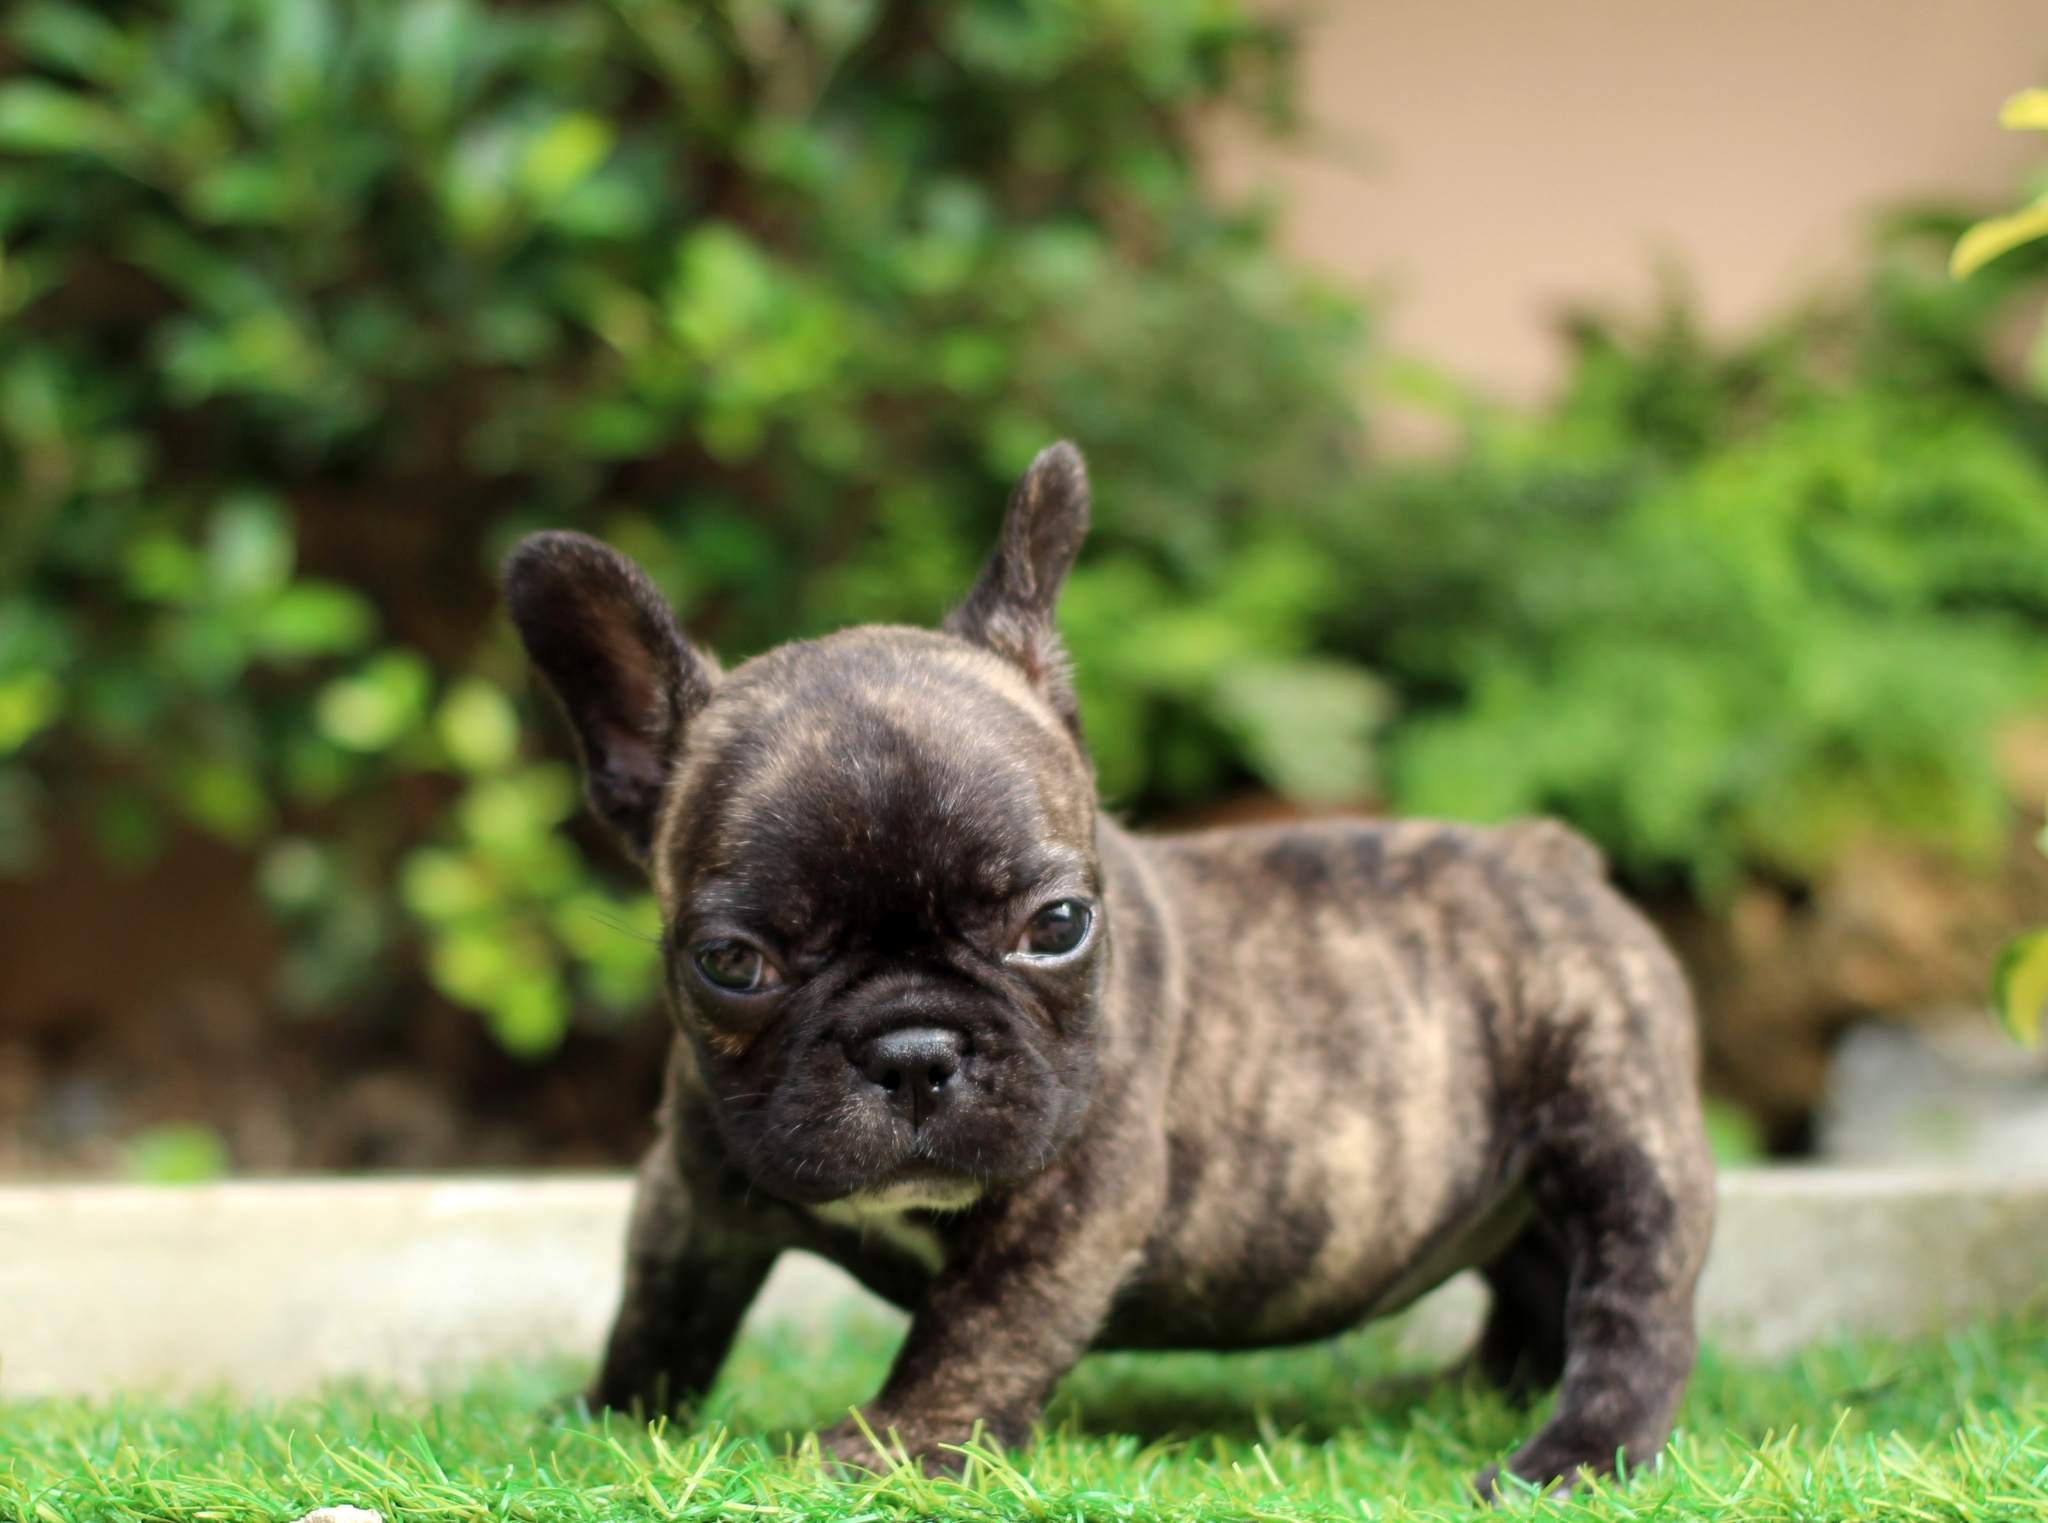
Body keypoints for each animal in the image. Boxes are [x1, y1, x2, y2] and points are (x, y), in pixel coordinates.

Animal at [504, 442, 1714, 1493]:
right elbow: (660, 1310)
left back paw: (1573, 1454)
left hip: (1616, 1129)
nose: (912, 1049)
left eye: (1056, 925)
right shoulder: (692, 1191)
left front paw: (894, 1445)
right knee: (1533, 1286)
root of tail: (1546, 851)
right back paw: (1453, 1391)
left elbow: (977, 1327)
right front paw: (603, 1416)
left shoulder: (1074, 1201)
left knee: (1634, 1296)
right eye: (732, 962)